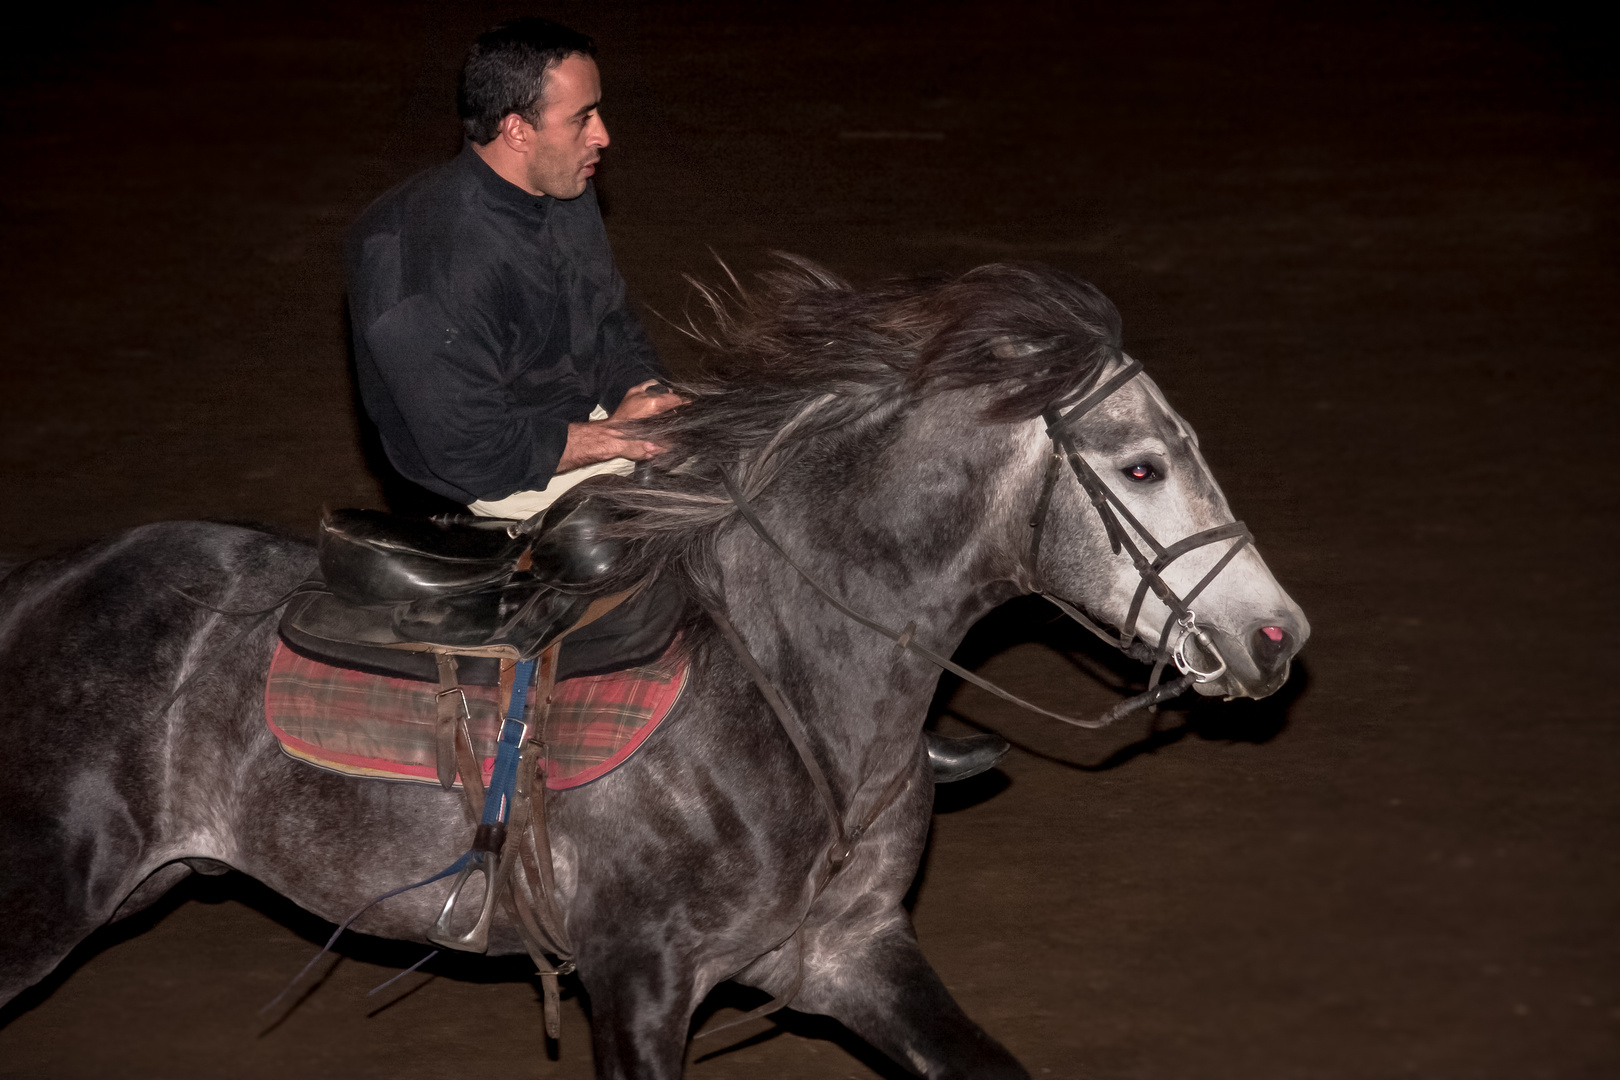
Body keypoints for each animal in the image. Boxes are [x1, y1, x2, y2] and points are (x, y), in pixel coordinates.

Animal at [0, 262, 1302, 1080]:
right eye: (1141, 467)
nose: (1276, 636)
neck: (789, 686)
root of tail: (36, 589)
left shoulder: (848, 952)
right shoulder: (637, 978)